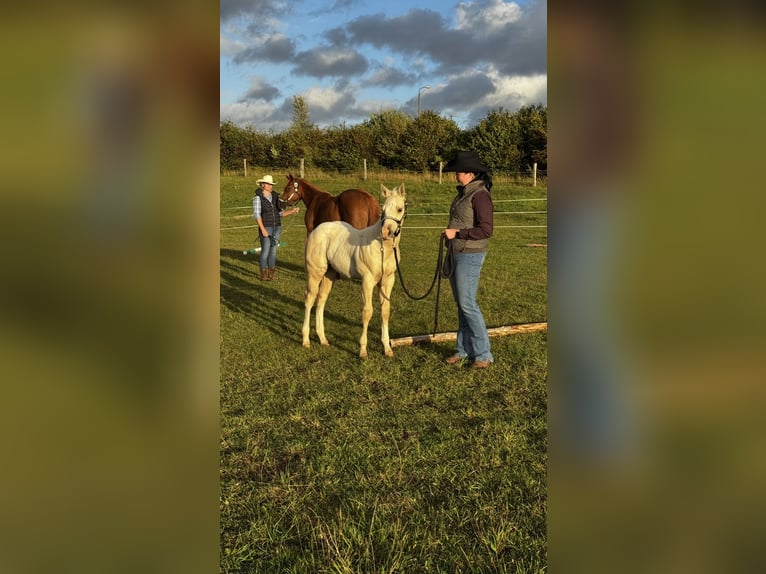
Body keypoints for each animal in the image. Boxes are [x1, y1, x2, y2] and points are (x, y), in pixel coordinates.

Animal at [302, 183, 406, 358]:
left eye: (399, 209)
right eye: (383, 210)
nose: (386, 232)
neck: (382, 249)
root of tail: (316, 230)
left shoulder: (387, 281)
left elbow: (385, 311)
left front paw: (387, 348)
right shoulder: (367, 281)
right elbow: (367, 312)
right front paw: (363, 350)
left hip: (330, 275)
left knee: (321, 300)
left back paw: (323, 339)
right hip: (315, 272)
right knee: (310, 300)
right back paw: (305, 340)